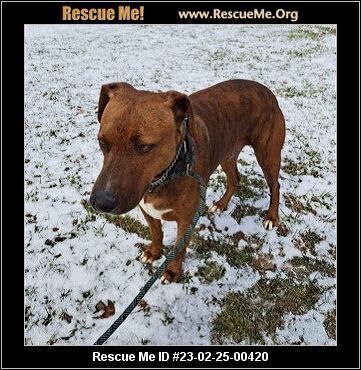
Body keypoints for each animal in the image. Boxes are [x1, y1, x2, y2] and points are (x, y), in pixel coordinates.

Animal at [90, 79, 284, 284]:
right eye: (102, 142)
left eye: (144, 147)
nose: (100, 202)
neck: (166, 174)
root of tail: (266, 90)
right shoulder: (146, 209)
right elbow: (156, 233)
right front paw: (154, 252)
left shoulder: (187, 221)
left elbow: (179, 248)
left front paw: (172, 271)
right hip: (227, 153)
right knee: (234, 179)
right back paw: (221, 204)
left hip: (268, 154)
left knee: (275, 185)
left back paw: (271, 217)